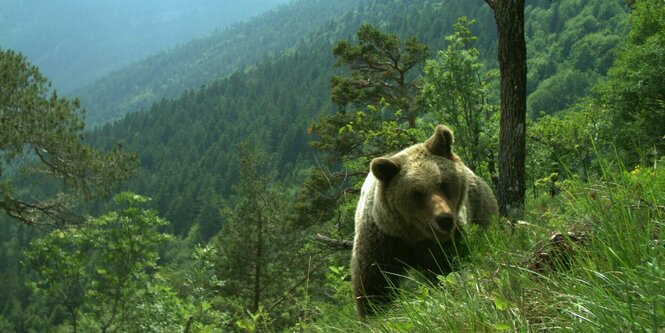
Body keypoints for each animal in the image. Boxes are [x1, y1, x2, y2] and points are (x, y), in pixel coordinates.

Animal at [350, 124, 496, 316]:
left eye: (443, 184)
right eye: (417, 193)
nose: (444, 219)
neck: (414, 233)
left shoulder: (443, 243)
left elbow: (448, 268)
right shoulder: (383, 239)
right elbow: (374, 281)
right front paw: (375, 312)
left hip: (480, 208)